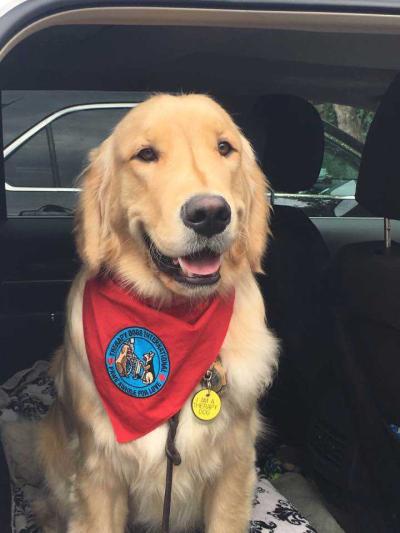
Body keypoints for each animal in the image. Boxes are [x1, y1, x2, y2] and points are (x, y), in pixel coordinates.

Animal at [36, 93, 278, 528]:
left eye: (225, 148)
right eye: (146, 155)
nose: (210, 214)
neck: (172, 315)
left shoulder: (234, 467)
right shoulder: (98, 475)